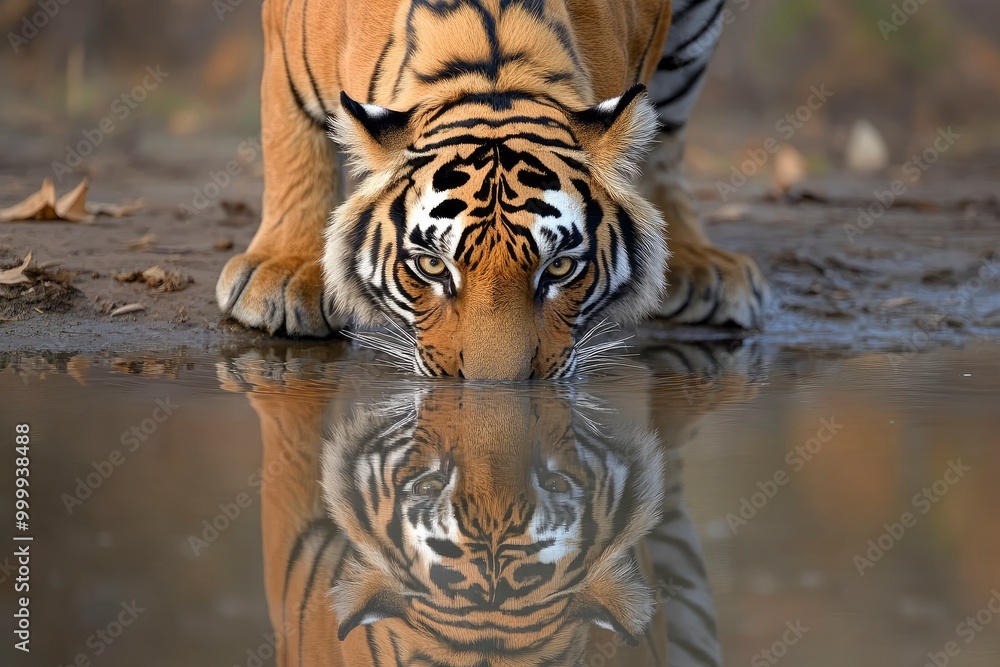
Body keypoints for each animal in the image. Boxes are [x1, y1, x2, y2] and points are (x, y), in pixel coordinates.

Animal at [216, 0, 770, 379]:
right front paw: (284, 271)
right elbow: (294, 149)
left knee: (667, 139)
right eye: (432, 266)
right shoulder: (287, 51)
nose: (494, 389)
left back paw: (699, 264)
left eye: (560, 268)